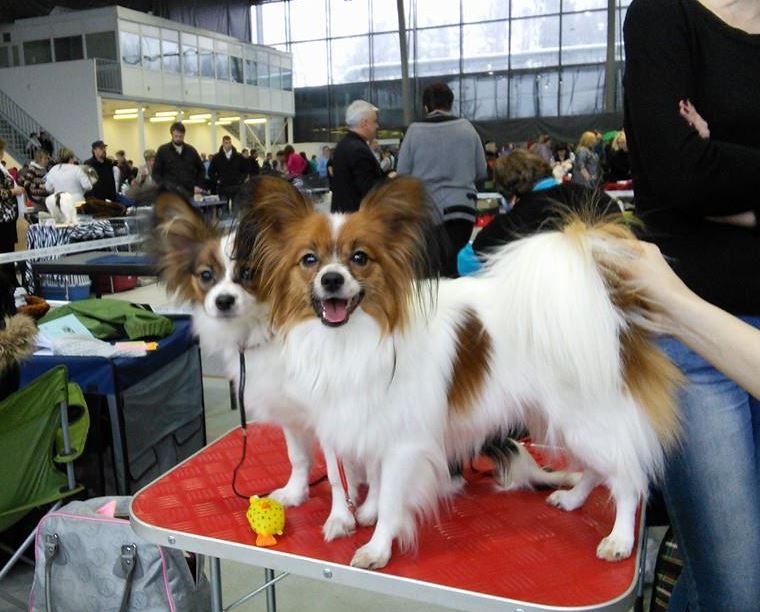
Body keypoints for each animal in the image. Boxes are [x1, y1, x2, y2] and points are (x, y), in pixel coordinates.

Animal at [241, 175, 682, 569]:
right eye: (309, 261)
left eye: (360, 258)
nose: (331, 279)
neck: (353, 338)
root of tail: (610, 302)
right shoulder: (371, 424)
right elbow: (370, 481)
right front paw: (362, 513)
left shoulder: (403, 441)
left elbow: (392, 498)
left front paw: (378, 545)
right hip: (567, 421)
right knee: (598, 467)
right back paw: (573, 499)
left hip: (589, 417)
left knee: (628, 477)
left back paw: (619, 539)